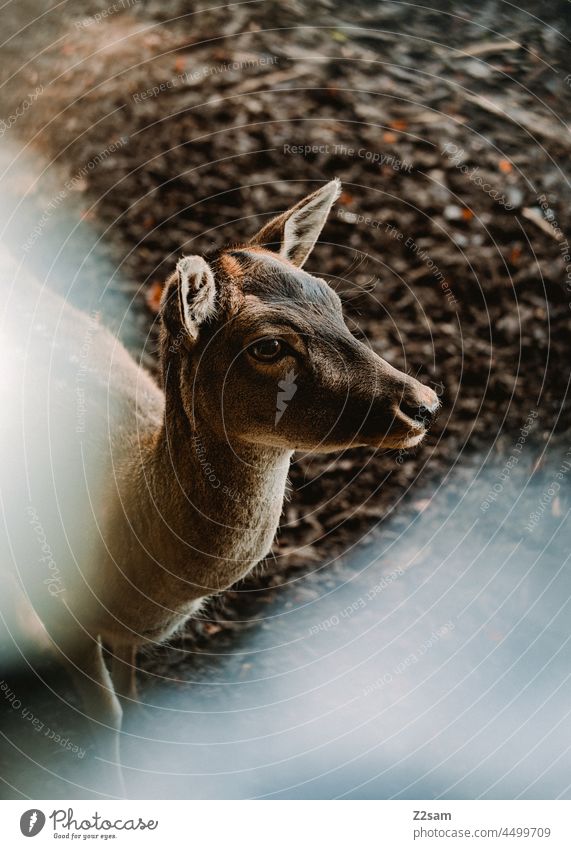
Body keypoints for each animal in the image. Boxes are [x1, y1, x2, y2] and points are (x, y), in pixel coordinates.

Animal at [1, 179, 438, 796]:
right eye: (268, 347)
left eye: (333, 301)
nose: (424, 403)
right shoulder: (65, 613)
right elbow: (106, 717)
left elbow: (132, 700)